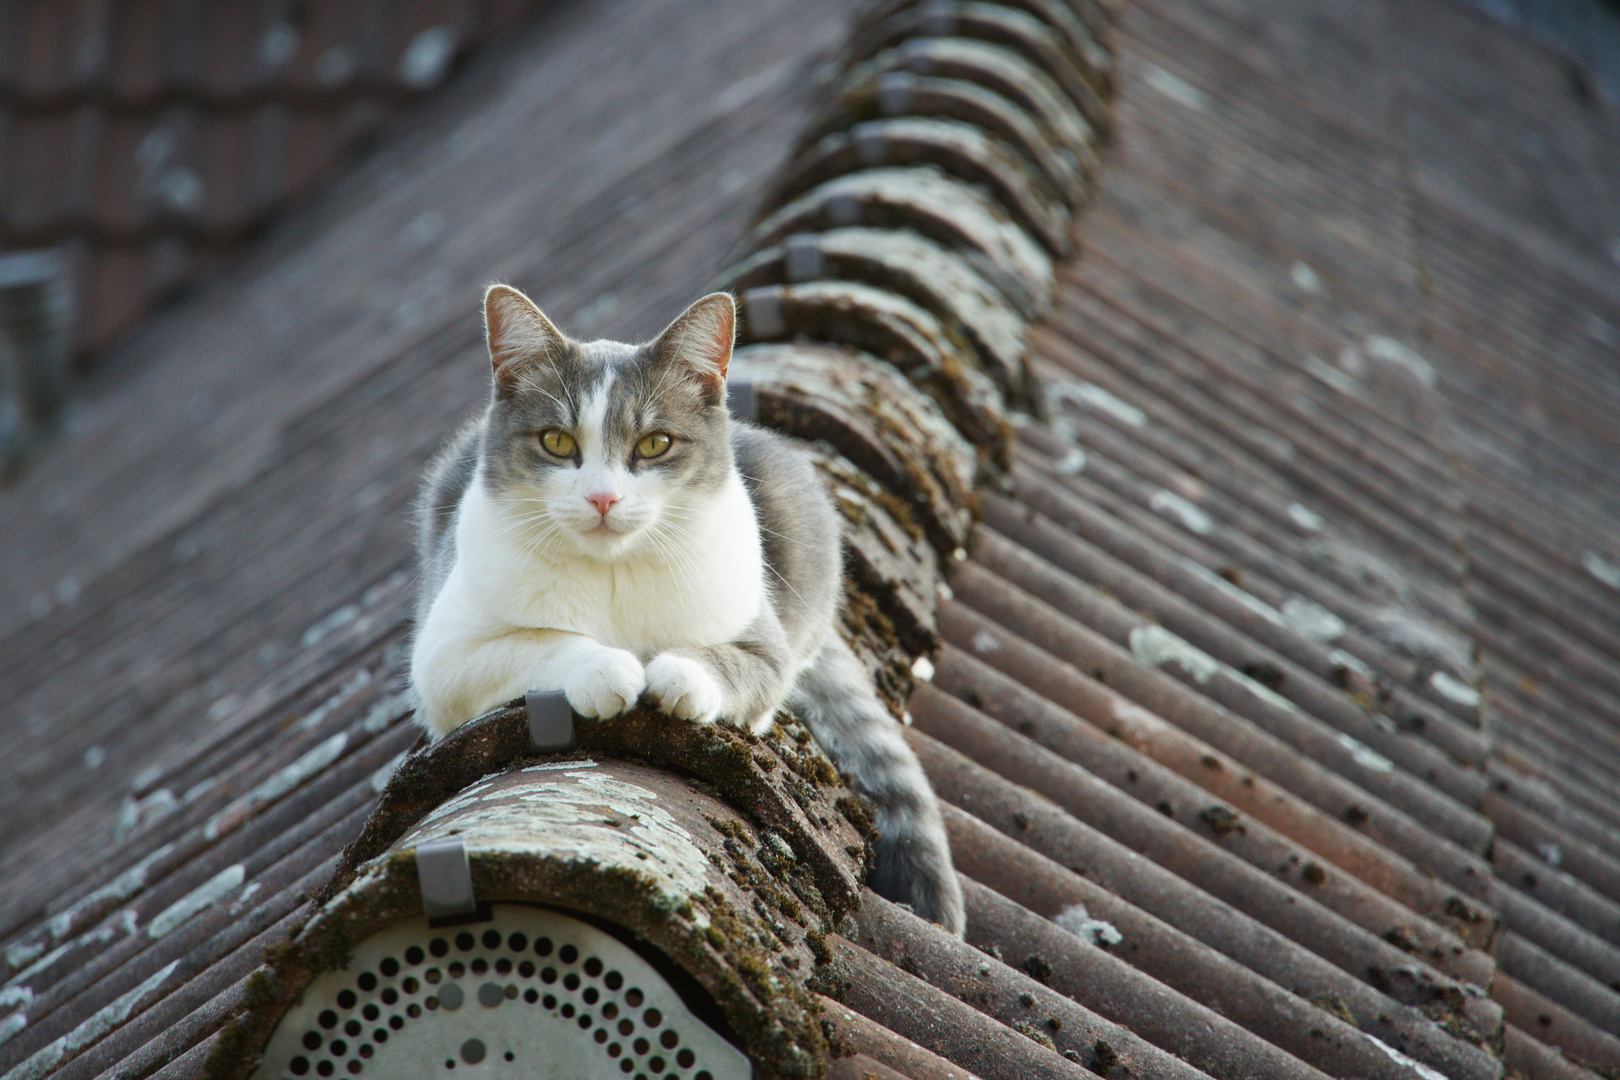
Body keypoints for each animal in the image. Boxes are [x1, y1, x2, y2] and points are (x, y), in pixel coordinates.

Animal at [408, 286, 959, 939]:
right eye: (557, 442)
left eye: (654, 444)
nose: (603, 498)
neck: (613, 571)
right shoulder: (445, 661)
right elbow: (542, 642)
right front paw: (606, 669)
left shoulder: (763, 643)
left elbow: (733, 663)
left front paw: (678, 675)